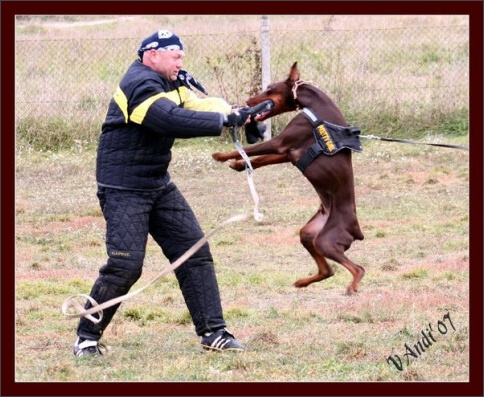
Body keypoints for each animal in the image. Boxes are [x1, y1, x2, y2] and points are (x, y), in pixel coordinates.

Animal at [214, 60, 364, 292]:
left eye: (269, 89)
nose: (247, 101)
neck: (313, 105)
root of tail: (356, 229)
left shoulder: (281, 143)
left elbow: (251, 149)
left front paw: (220, 156)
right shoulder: (287, 153)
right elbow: (259, 159)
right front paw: (239, 165)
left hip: (327, 241)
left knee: (358, 269)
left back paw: (352, 286)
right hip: (309, 233)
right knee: (327, 270)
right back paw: (302, 282)